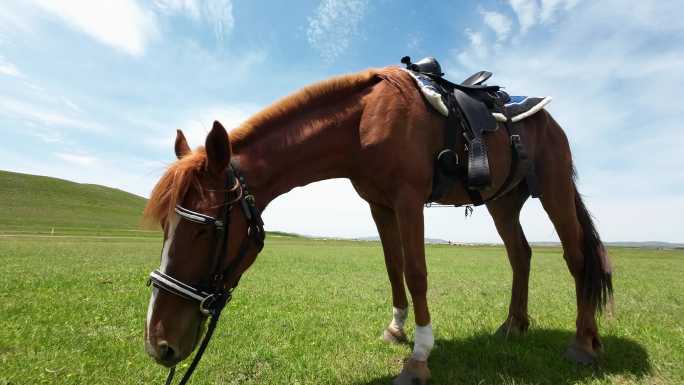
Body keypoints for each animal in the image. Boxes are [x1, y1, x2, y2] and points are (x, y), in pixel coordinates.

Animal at [142, 67, 612, 384]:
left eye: (205, 228)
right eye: (165, 225)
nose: (158, 342)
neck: (364, 120)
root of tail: (549, 121)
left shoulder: (408, 200)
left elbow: (418, 272)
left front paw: (419, 356)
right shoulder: (379, 206)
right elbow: (393, 267)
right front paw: (396, 329)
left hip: (553, 189)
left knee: (576, 257)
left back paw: (583, 343)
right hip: (502, 203)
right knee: (521, 255)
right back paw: (514, 326)